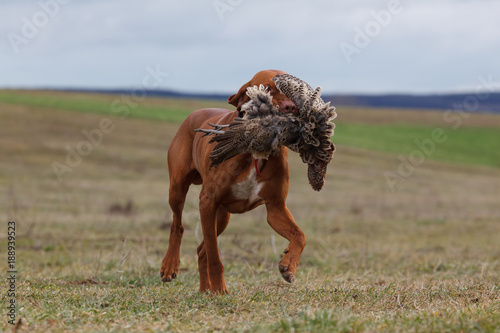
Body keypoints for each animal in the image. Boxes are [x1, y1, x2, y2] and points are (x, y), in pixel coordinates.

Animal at [162, 68, 306, 292]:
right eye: (266, 88)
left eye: (291, 90)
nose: (290, 107)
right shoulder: (207, 201)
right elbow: (215, 257)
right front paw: (220, 290)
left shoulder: (275, 208)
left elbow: (300, 235)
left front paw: (288, 265)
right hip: (178, 189)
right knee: (178, 226)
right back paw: (171, 265)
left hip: (221, 217)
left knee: (201, 250)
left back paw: (205, 290)